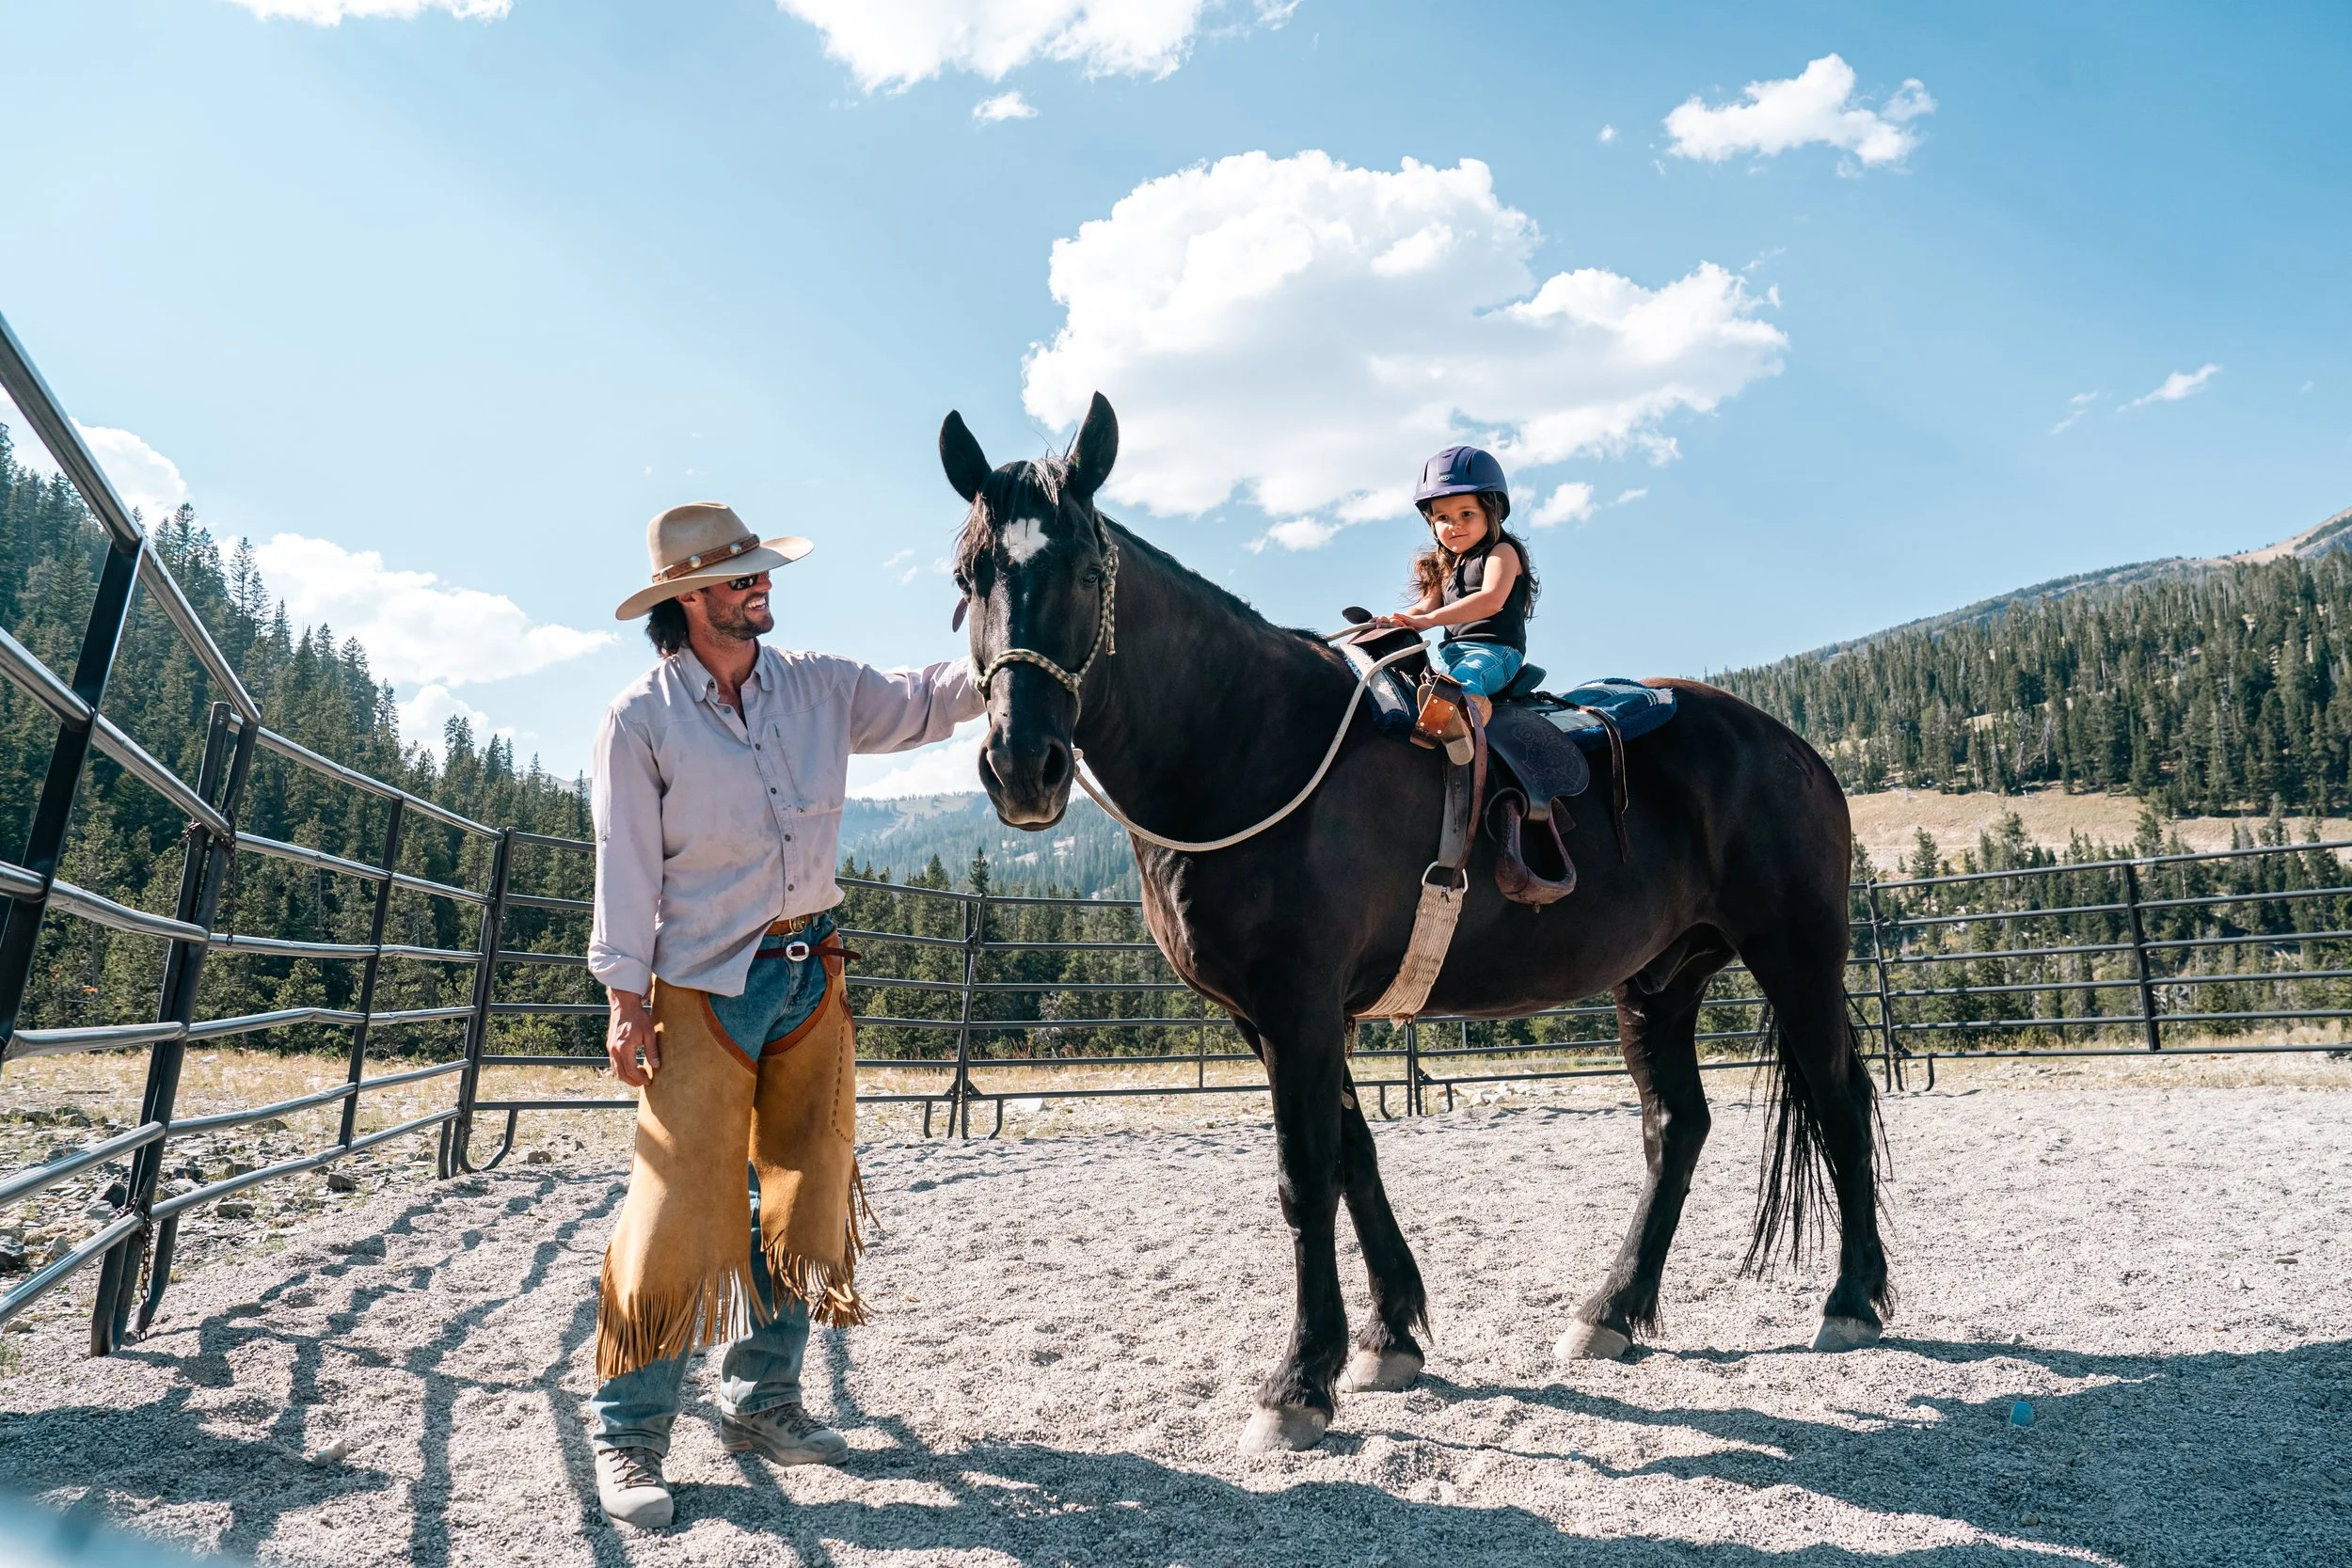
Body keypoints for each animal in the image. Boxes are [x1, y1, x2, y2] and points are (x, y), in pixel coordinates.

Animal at [938, 392, 1888, 1452]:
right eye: (969, 574)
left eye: (1085, 569)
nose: (1022, 765)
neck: (1248, 742)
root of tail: (1790, 745)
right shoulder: (1275, 1020)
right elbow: (1354, 1157)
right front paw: (1388, 1335)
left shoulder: (1299, 1007)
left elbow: (1306, 1176)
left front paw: (1296, 1382)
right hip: (1658, 981)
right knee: (1675, 1126)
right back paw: (1611, 1308)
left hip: (1797, 954)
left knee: (1841, 1102)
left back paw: (1851, 1300)